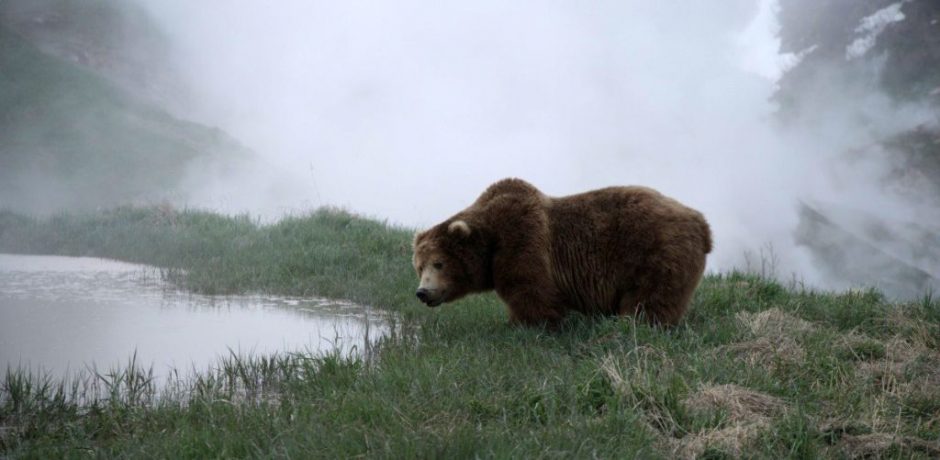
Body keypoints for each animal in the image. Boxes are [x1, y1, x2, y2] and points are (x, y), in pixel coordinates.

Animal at [414, 179, 712, 328]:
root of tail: (700, 220)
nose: (422, 292)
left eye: (438, 264)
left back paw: (634, 323)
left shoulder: (522, 239)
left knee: (649, 298)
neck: (490, 238)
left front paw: (529, 324)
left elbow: (531, 291)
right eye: (419, 266)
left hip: (656, 250)